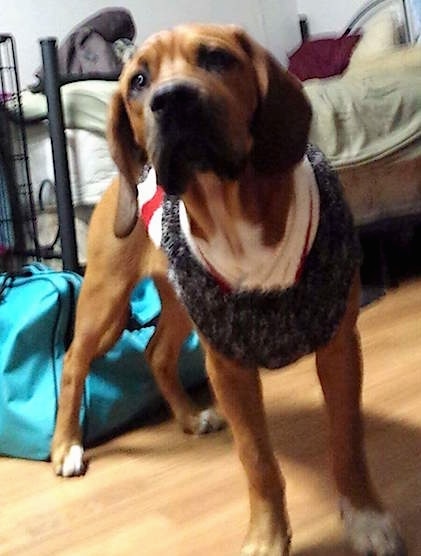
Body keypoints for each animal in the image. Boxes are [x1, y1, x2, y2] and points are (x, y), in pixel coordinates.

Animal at [50, 23, 406, 552]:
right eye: (138, 81)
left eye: (216, 59)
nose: (171, 100)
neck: (235, 214)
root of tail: (123, 180)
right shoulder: (228, 365)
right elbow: (257, 460)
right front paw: (268, 536)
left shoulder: (339, 346)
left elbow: (346, 439)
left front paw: (364, 517)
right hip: (106, 295)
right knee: (74, 361)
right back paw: (66, 447)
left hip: (179, 301)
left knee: (157, 352)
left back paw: (188, 418)